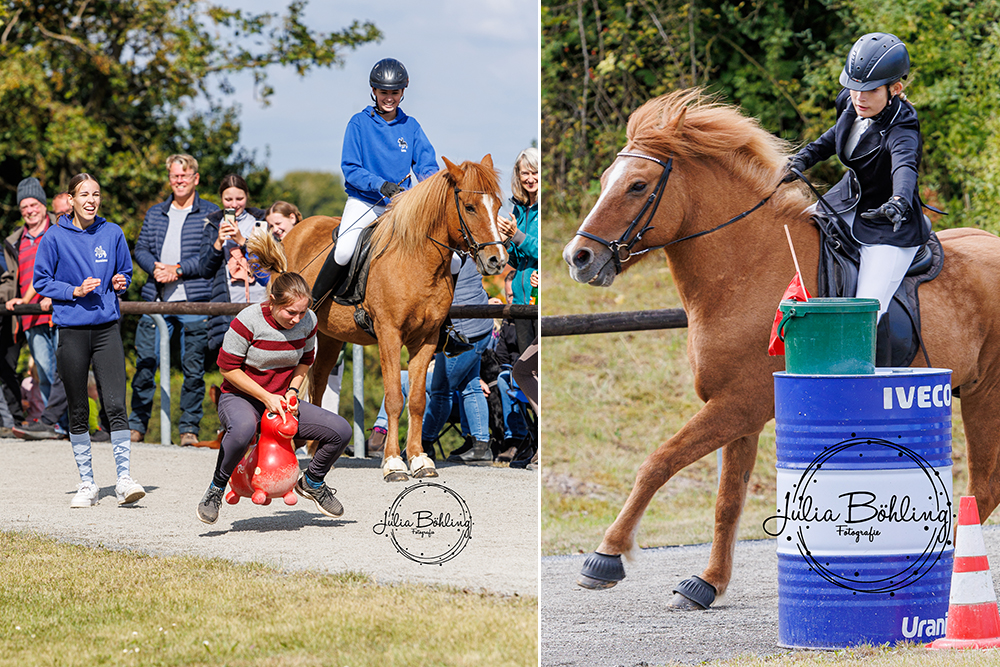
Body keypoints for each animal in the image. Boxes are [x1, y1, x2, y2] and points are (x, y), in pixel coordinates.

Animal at [284, 155, 508, 480]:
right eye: (469, 207)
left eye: (499, 205)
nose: (497, 261)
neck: (417, 261)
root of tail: (298, 229)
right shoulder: (389, 335)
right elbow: (393, 399)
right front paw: (393, 462)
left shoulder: (426, 339)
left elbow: (416, 401)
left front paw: (418, 458)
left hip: (329, 337)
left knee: (319, 382)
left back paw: (315, 449)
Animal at [564, 88, 1000, 612]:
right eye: (606, 182)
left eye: (636, 186)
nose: (578, 258)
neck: (747, 267)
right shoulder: (739, 411)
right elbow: (727, 500)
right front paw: (707, 584)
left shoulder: (739, 404)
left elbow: (658, 462)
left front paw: (605, 556)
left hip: (985, 395)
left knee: (983, 489)